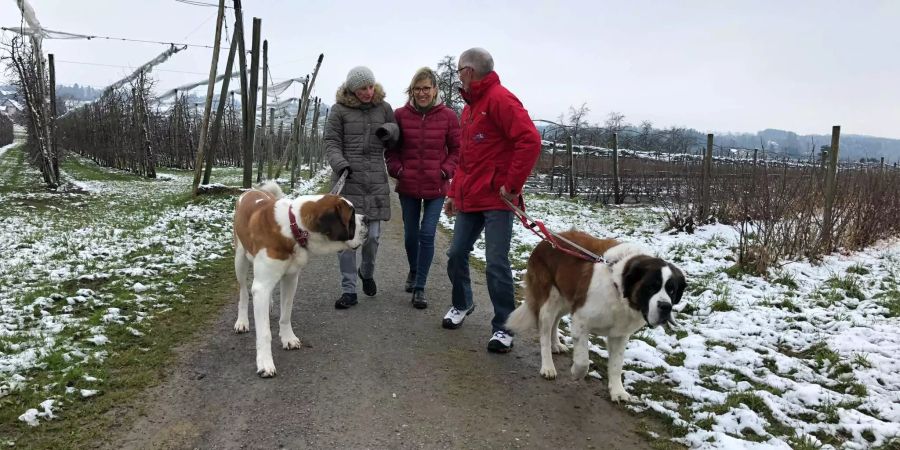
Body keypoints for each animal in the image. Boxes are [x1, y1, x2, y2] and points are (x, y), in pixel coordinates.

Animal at [232, 181, 366, 378]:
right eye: (351, 217)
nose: (366, 219)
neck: (293, 228)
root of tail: (251, 191)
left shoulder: (291, 278)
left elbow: (286, 313)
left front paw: (288, 338)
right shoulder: (262, 286)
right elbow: (264, 332)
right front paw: (265, 363)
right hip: (240, 259)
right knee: (243, 292)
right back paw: (242, 321)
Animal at [506, 230, 688, 402]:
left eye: (672, 290)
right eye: (651, 287)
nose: (665, 306)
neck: (619, 292)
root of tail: (547, 239)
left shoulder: (620, 334)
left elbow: (616, 364)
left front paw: (618, 391)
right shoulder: (581, 321)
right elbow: (583, 361)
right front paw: (576, 372)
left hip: (566, 298)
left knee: (556, 321)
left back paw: (556, 344)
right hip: (549, 300)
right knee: (544, 332)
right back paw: (548, 366)